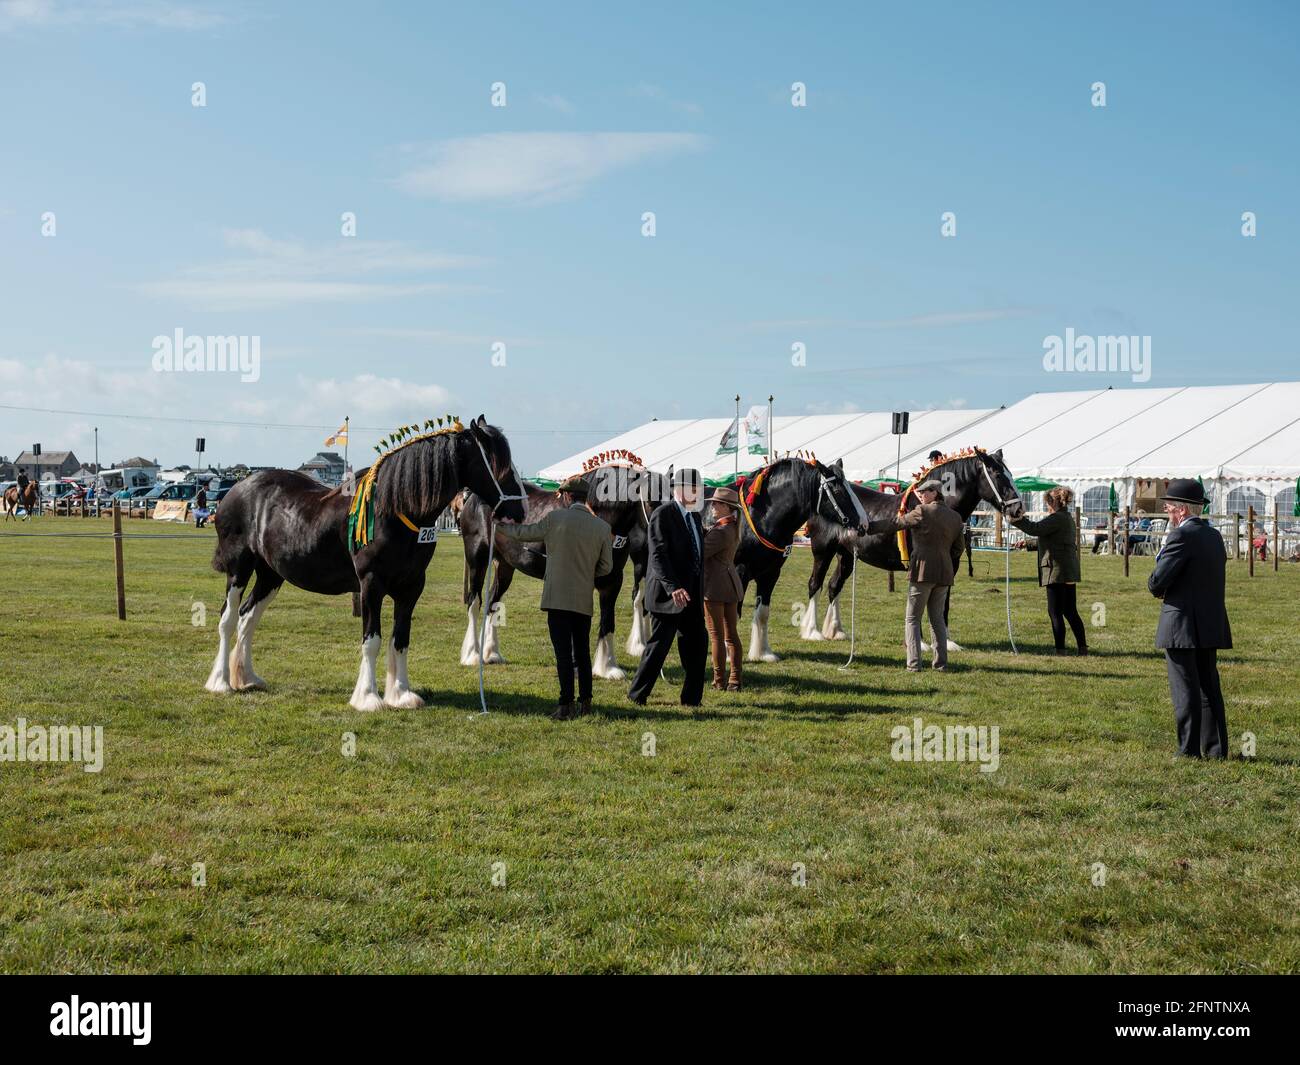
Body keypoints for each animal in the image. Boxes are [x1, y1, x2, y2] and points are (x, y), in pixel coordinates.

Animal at [208, 413, 522, 707]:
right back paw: (221, 682)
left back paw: (247, 678)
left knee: (248, 616)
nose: (520, 509)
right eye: (498, 464)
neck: (393, 510)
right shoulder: (371, 584)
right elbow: (372, 641)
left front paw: (401, 694)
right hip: (238, 569)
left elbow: (401, 639)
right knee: (228, 618)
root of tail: (236, 489)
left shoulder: (411, 587)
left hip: (271, 575)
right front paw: (369, 697)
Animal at [795, 444, 1019, 644]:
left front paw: (947, 642)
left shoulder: (949, 567)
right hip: (823, 551)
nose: (1017, 509)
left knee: (834, 586)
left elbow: (943, 605)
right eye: (998, 475)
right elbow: (916, 602)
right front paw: (920, 643)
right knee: (815, 584)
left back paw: (837, 631)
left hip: (847, 556)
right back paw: (812, 632)